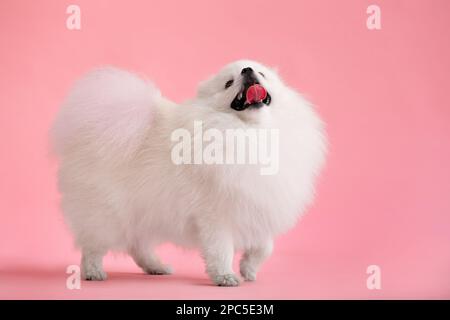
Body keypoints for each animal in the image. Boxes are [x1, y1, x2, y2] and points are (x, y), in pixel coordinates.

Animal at [51, 60, 326, 288]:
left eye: (262, 73)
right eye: (228, 83)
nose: (247, 70)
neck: (249, 132)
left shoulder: (256, 206)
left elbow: (264, 247)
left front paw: (248, 269)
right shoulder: (215, 217)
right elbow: (221, 250)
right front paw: (225, 276)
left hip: (143, 211)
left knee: (137, 245)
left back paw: (156, 266)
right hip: (107, 212)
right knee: (94, 245)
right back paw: (93, 272)